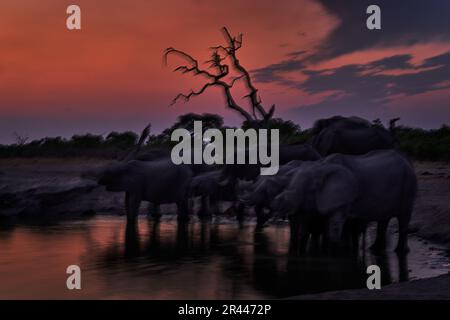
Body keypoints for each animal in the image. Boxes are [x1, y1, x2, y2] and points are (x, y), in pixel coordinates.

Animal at [270, 151, 414, 254]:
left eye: (311, 189)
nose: (276, 201)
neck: (320, 167)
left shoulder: (344, 197)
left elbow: (334, 226)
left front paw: (335, 252)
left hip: (408, 185)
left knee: (403, 218)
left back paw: (400, 251)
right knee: (384, 220)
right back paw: (374, 249)